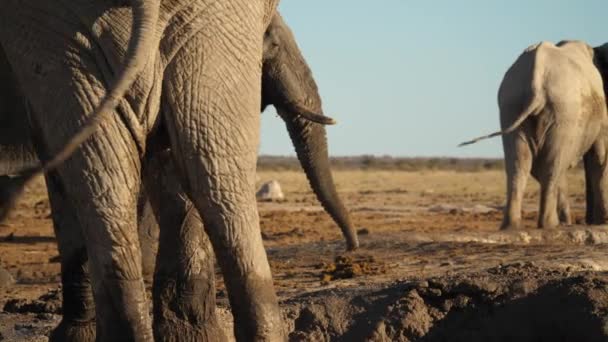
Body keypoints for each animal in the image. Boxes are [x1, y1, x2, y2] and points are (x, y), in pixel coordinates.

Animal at [460, 41, 608, 231]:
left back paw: (512, 226)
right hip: (564, 111)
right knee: (552, 164)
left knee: (520, 163)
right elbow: (600, 157)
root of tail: (536, 77)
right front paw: (601, 222)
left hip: (511, 104)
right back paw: (550, 225)